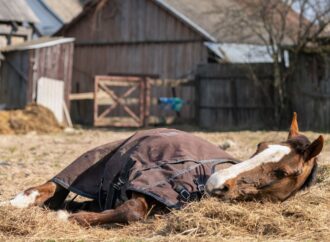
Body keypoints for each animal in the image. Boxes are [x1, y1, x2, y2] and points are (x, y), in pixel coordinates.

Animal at [6, 113, 324, 227]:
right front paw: (69, 217)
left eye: (283, 172)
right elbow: (133, 210)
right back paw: (18, 202)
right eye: (260, 145)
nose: (216, 182)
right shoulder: (147, 185)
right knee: (53, 186)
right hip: (92, 161)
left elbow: (130, 211)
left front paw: (72, 215)